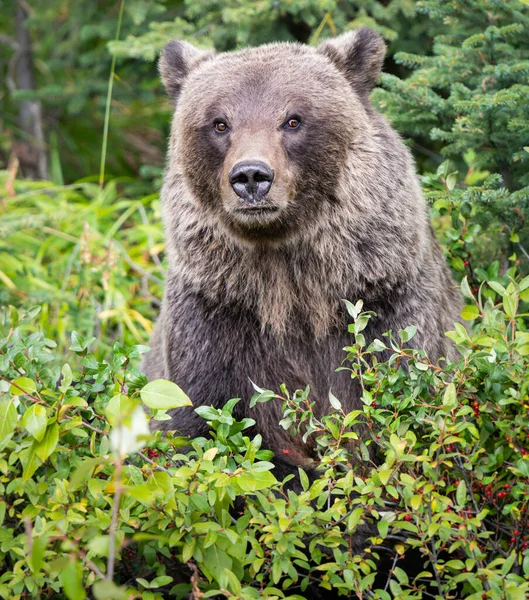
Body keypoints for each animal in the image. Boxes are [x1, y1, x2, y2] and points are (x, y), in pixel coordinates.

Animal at [142, 28, 460, 476]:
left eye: (293, 119)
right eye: (220, 122)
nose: (251, 176)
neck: (291, 287)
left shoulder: (388, 303)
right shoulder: (215, 314)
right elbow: (202, 422)